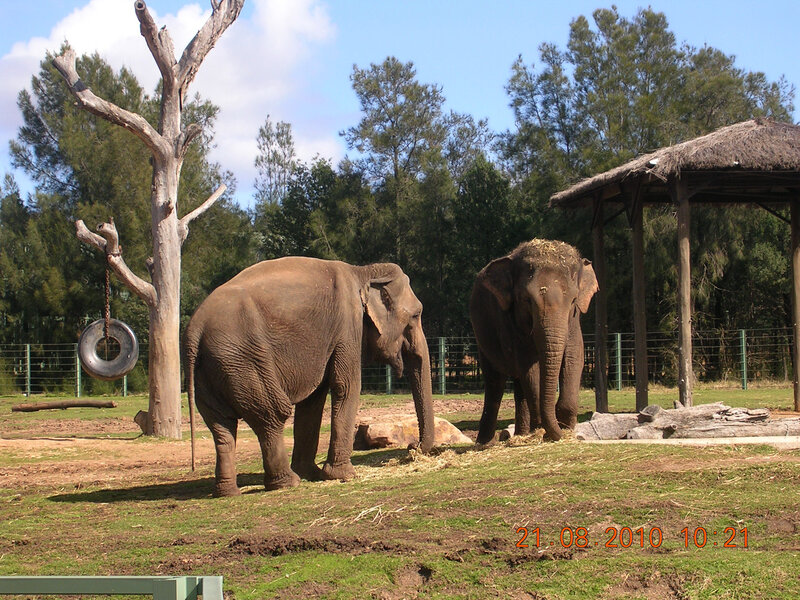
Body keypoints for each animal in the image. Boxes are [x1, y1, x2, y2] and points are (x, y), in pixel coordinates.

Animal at [183, 256, 435, 496]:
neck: (362, 271)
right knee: (272, 415)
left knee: (222, 427)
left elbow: (313, 400)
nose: (412, 447)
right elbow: (346, 387)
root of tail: (196, 330)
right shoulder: (348, 327)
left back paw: (229, 492)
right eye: (416, 315)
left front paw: (312, 474)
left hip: (211, 371)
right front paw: (343, 476)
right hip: (244, 361)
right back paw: (287, 483)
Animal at [470, 239, 598, 443]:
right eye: (526, 300)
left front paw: (565, 427)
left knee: (518, 384)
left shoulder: (574, 321)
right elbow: (529, 366)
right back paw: (485, 443)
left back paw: (521, 434)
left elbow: (574, 357)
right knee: (495, 382)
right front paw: (544, 430)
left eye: (573, 300)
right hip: (483, 339)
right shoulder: (511, 323)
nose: (559, 432)